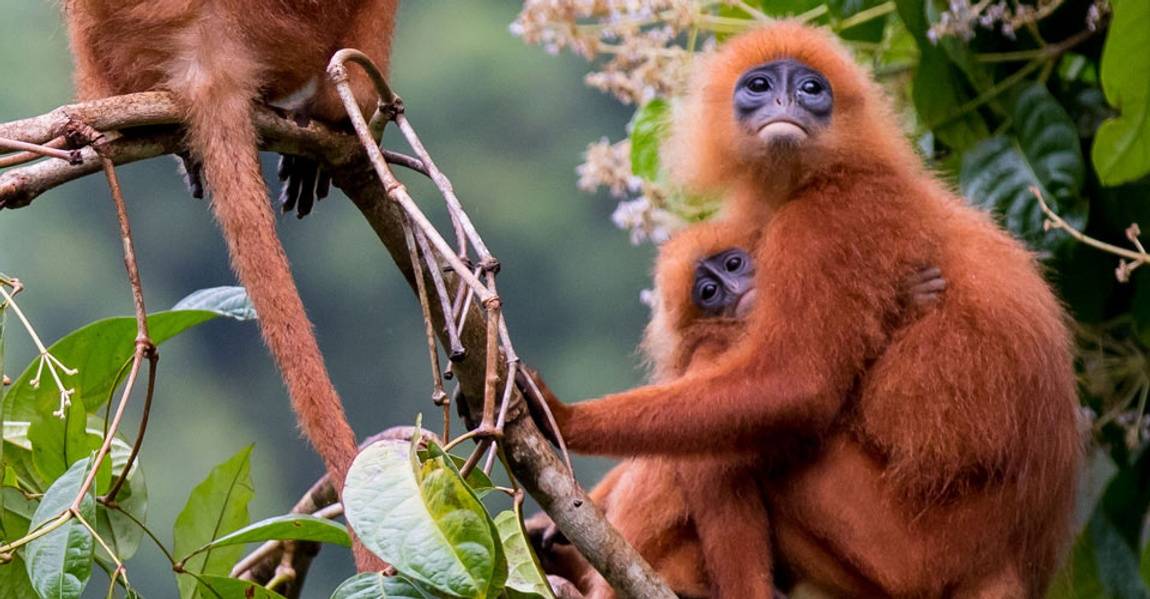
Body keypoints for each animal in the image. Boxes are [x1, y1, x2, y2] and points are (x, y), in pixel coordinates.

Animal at [533, 20, 1081, 593]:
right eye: (759, 86)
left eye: (811, 89)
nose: (786, 101)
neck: (829, 173)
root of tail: (1009, 552)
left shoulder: (830, 219)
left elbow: (796, 384)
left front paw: (563, 418)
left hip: (909, 551)